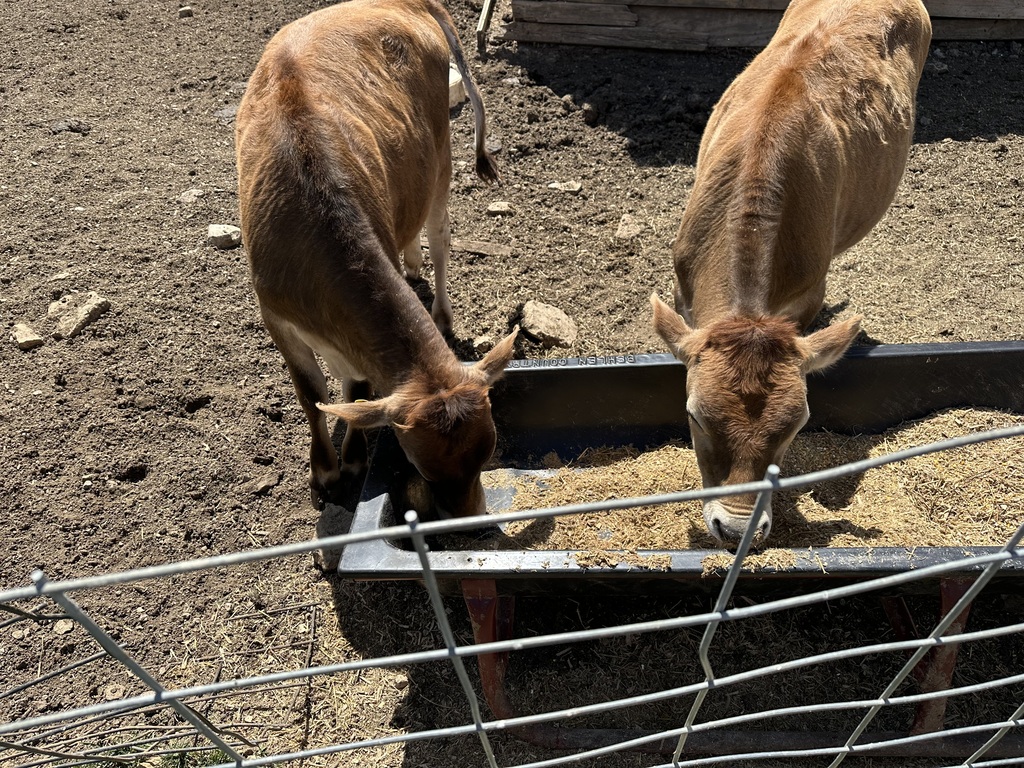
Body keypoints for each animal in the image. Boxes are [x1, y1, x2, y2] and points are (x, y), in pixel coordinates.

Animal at [235, 0, 517, 518]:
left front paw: (352, 461)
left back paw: (441, 312)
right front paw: (324, 471)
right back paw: (410, 264)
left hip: (440, 154)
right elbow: (312, 393)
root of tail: (400, 4)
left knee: (440, 238)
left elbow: (357, 388)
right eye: (423, 467)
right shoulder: (274, 314)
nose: (472, 521)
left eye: (488, 453)